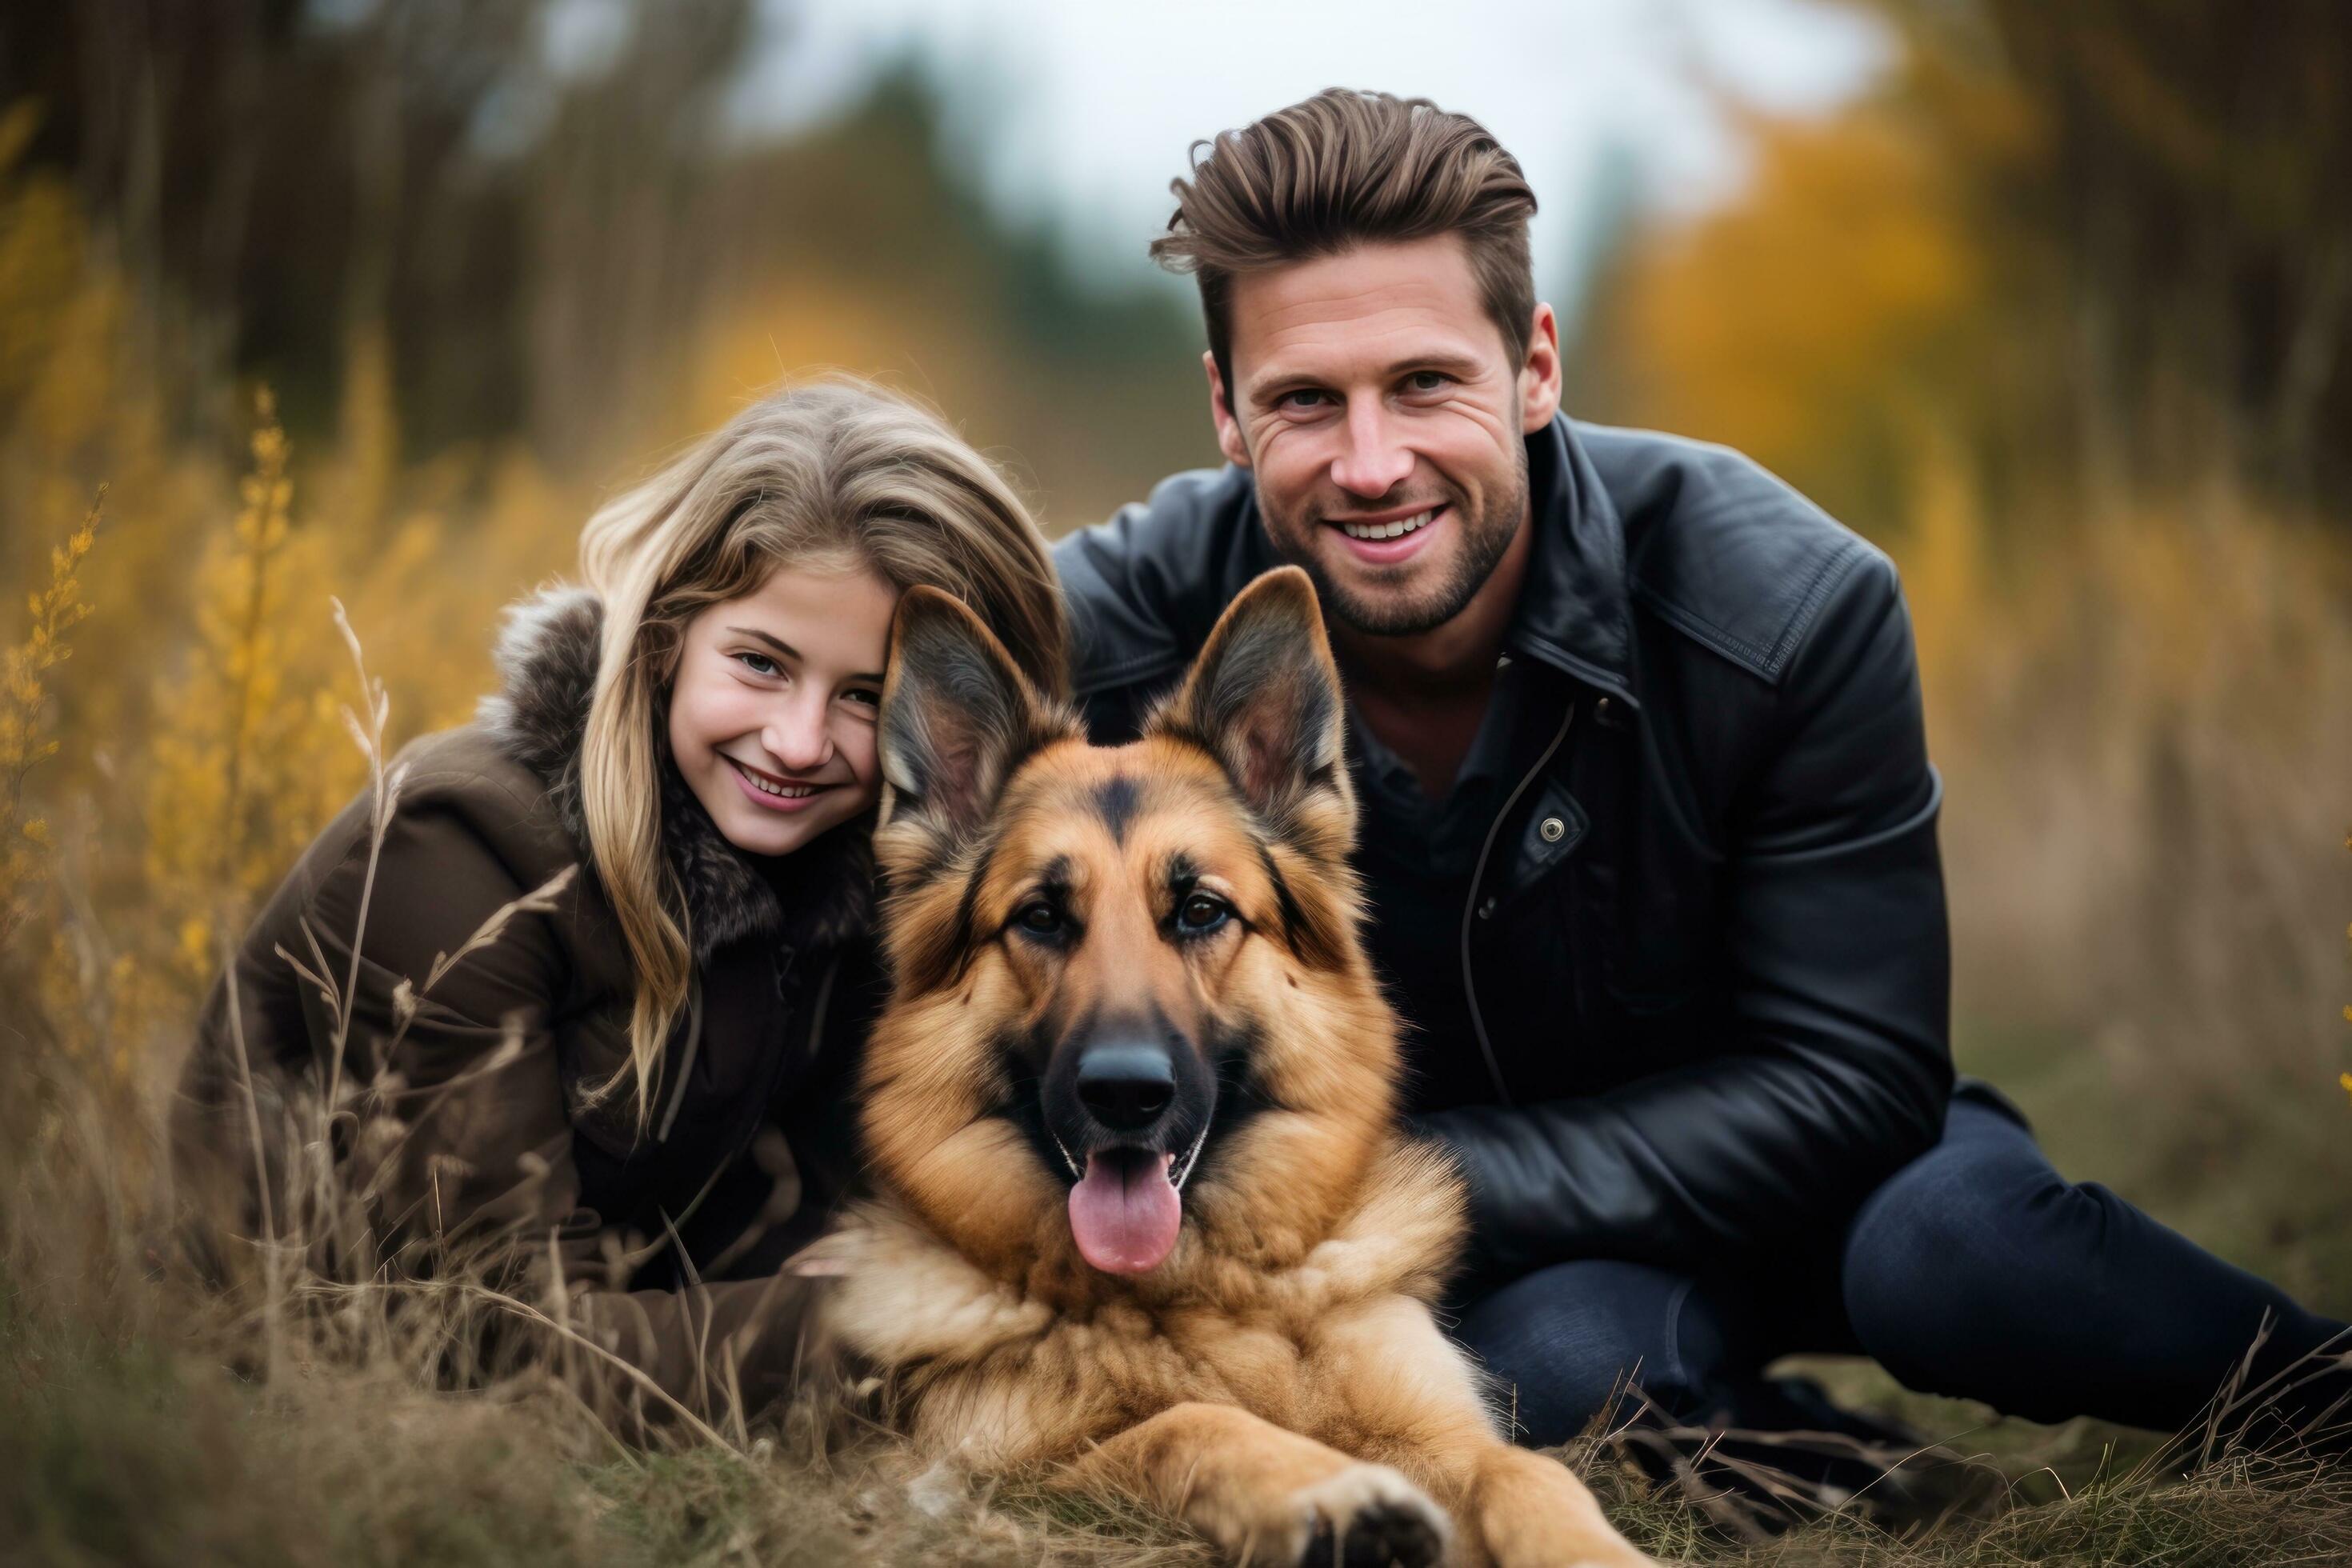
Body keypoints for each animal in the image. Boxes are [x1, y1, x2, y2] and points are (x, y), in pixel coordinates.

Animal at [799, 566, 1665, 1568]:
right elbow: (1192, 1423)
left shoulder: (1441, 1429)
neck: (1203, 1290)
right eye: (1041, 918)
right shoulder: (1000, 1475)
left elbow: (1528, 1472)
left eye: (1202, 911)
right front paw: (1330, 1495)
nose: (1126, 1094)